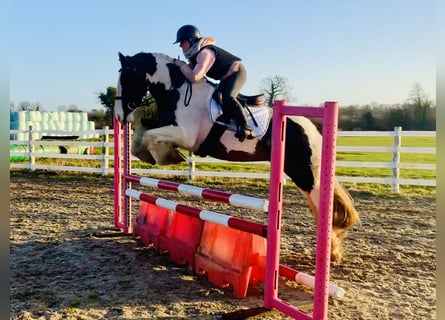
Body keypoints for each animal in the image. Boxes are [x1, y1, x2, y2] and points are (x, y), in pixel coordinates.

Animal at [113, 51, 358, 262]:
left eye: (126, 78)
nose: (119, 115)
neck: (178, 92)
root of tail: (313, 128)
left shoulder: (185, 134)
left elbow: (150, 135)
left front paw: (167, 156)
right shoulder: (166, 124)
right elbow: (142, 131)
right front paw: (148, 153)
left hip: (306, 175)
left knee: (324, 210)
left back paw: (331, 253)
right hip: (299, 173)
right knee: (319, 209)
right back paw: (332, 252)